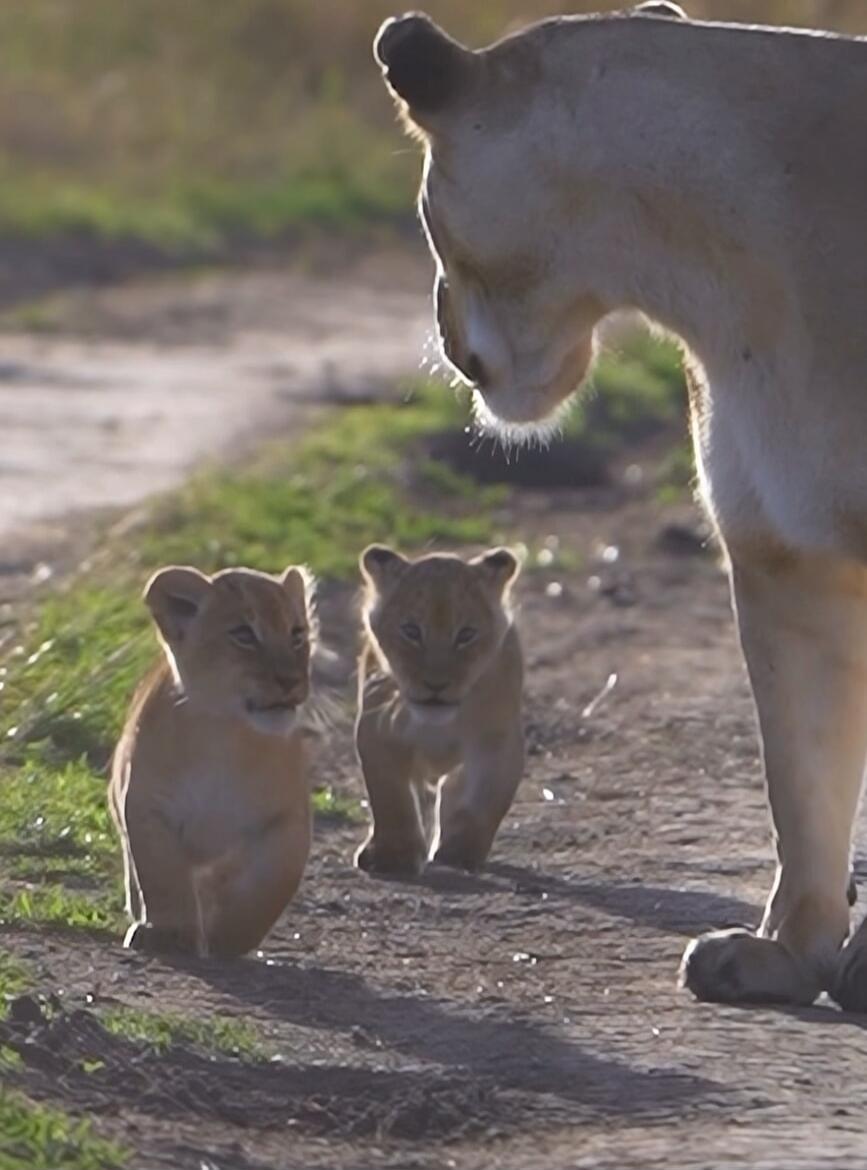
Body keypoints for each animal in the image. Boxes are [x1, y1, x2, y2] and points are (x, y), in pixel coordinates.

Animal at [109, 563, 316, 958]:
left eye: (297, 634)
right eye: (244, 634)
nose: (290, 680)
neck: (224, 736)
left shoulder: (288, 821)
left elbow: (272, 887)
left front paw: (225, 941)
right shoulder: (146, 806)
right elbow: (162, 875)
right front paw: (170, 933)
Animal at [354, 545, 524, 875]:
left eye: (466, 635)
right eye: (411, 631)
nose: (436, 685)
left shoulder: (498, 741)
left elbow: (484, 803)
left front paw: (460, 853)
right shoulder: (376, 731)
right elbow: (391, 799)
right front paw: (395, 856)